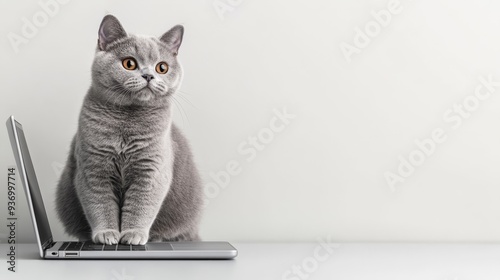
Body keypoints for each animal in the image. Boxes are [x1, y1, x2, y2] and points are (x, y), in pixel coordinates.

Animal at [55, 14, 203, 245]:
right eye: (129, 63)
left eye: (162, 67)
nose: (149, 76)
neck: (127, 122)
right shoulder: (93, 169)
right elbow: (100, 205)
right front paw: (107, 234)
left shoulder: (151, 171)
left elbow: (141, 207)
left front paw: (133, 234)